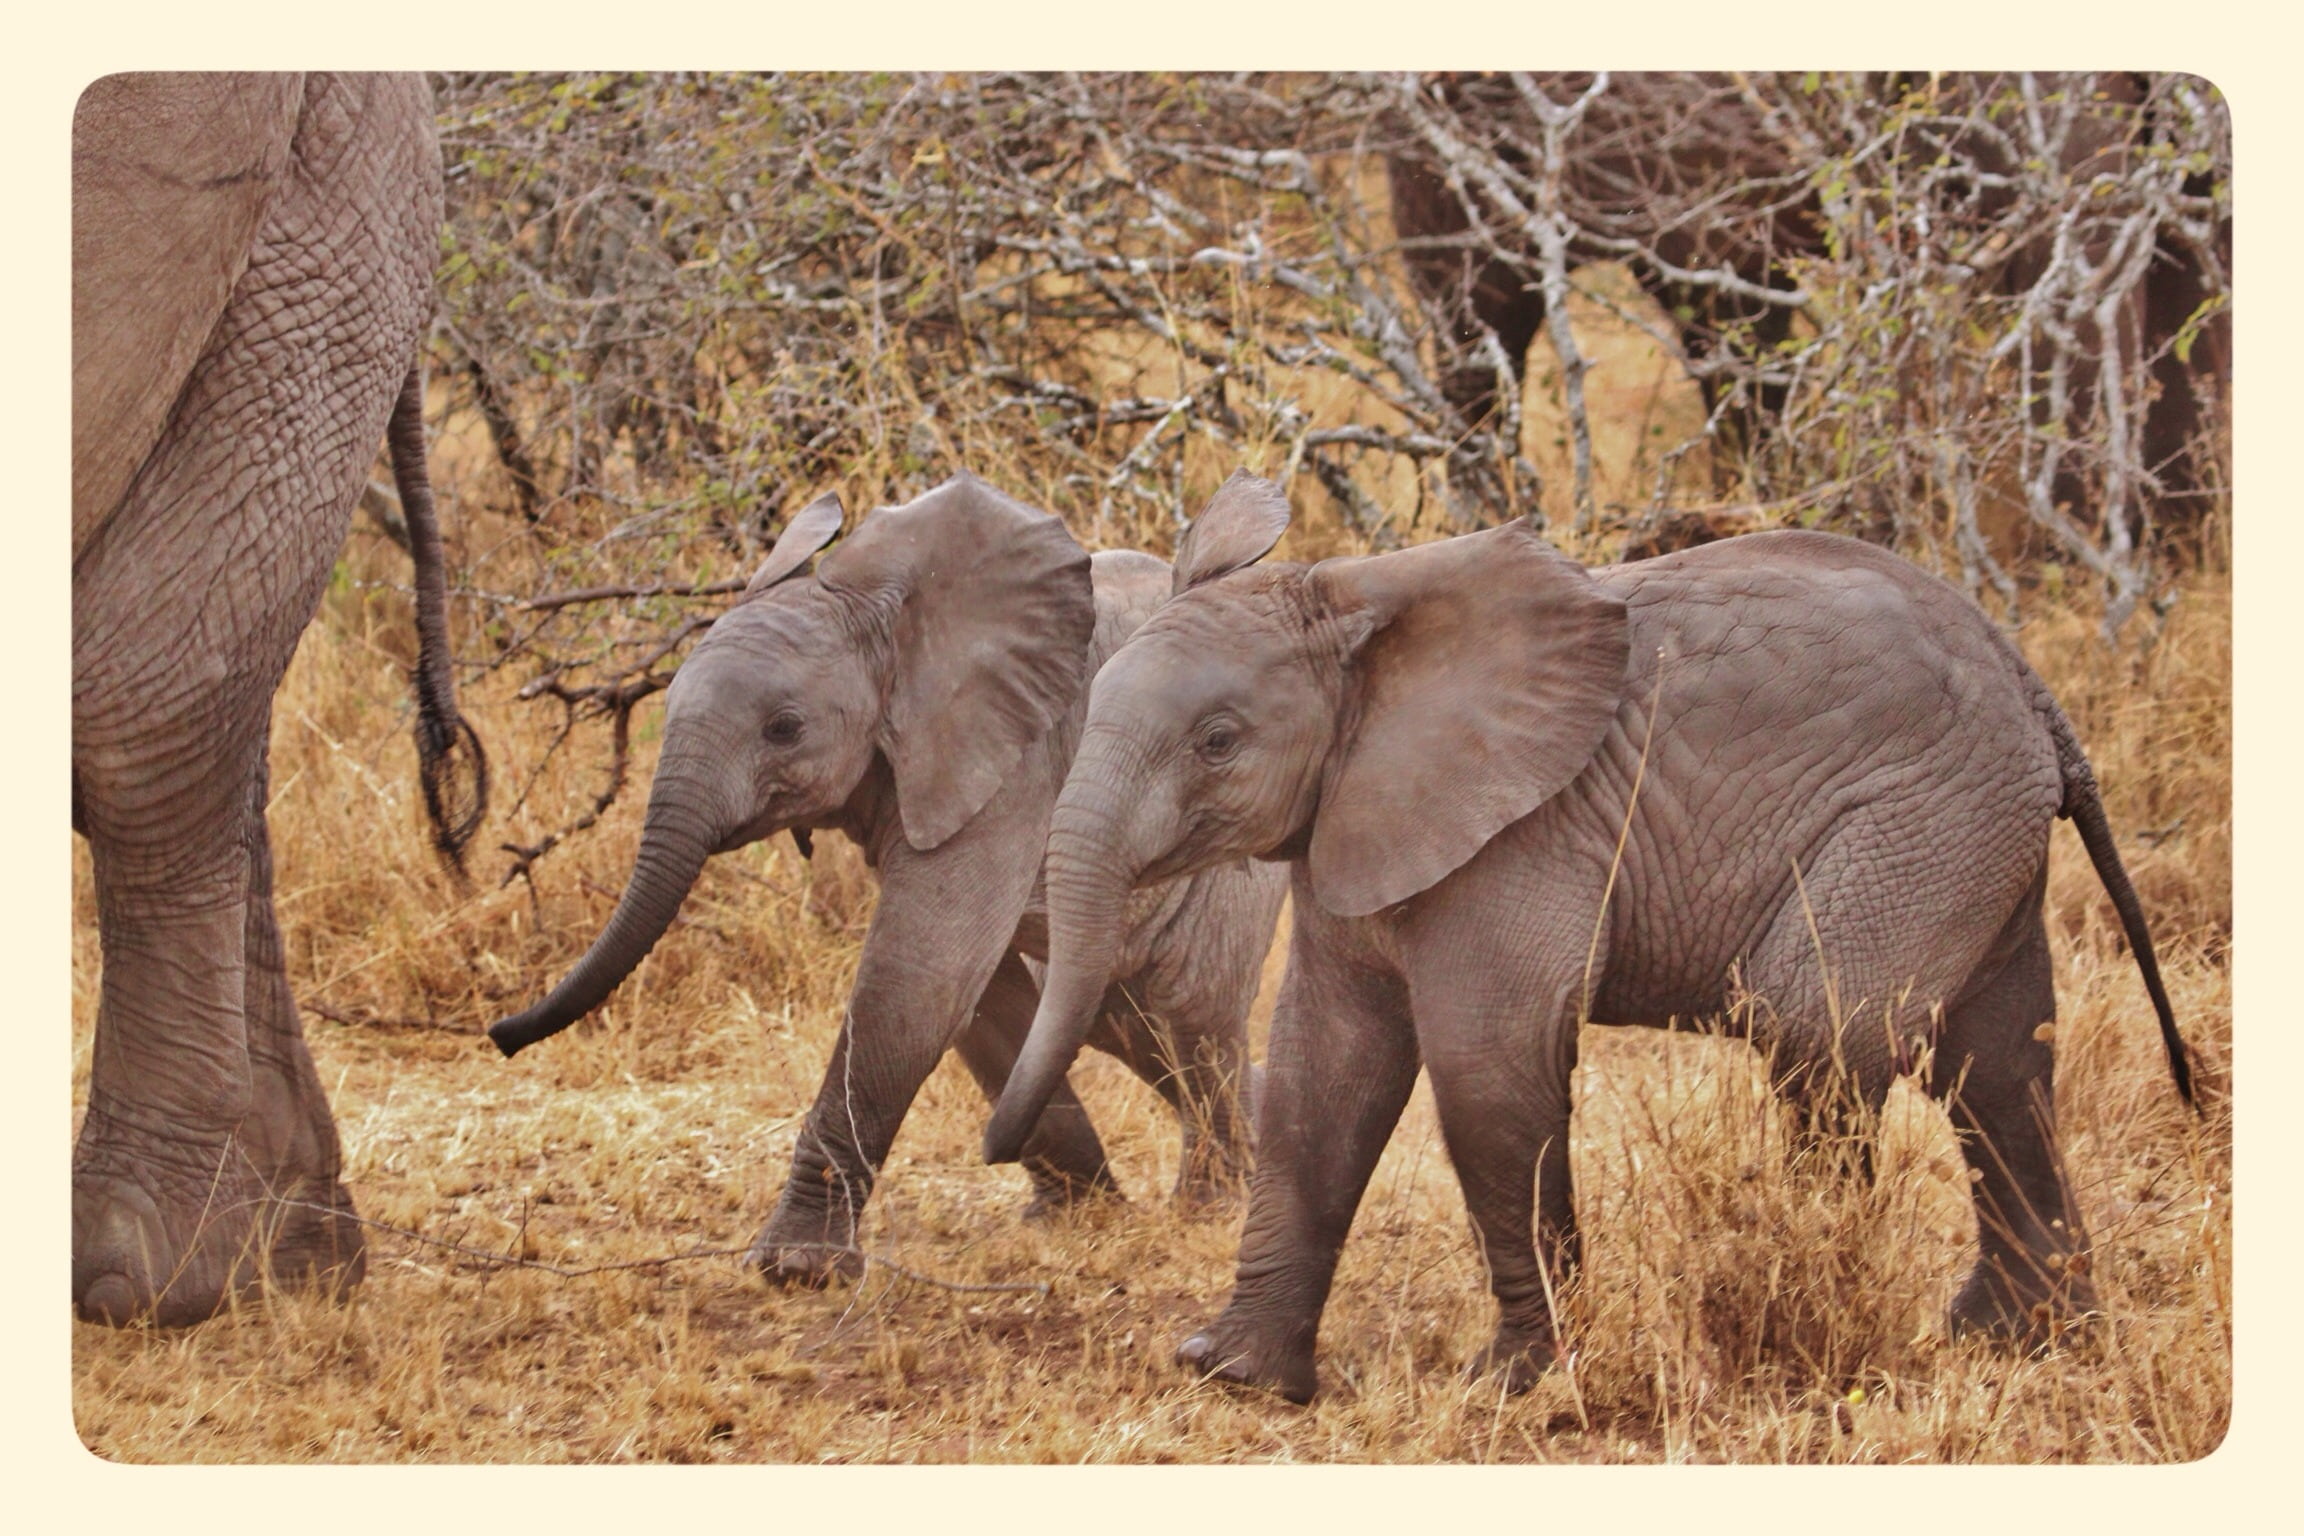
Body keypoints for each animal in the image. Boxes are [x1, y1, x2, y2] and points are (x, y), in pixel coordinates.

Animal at [487, 474, 1287, 1284]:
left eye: (784, 728)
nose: (501, 1035)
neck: (889, 625)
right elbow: (974, 999)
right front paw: (1074, 1216)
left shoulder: (1014, 765)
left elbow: (918, 974)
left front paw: (800, 1270)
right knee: (1120, 1024)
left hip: (1233, 862)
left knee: (1190, 1014)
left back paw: (1213, 1206)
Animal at [985, 470, 2193, 1403]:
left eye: (1219, 742)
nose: (997, 1152)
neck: (1360, 612)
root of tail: (2030, 685)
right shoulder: (1357, 824)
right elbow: (1320, 1081)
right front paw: (1228, 1374)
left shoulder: (1524, 836)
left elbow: (1486, 1072)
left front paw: (1514, 1386)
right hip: (1977, 835)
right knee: (2002, 1064)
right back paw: (2015, 1339)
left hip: (1922, 820)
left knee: (1821, 1029)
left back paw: (1833, 1299)